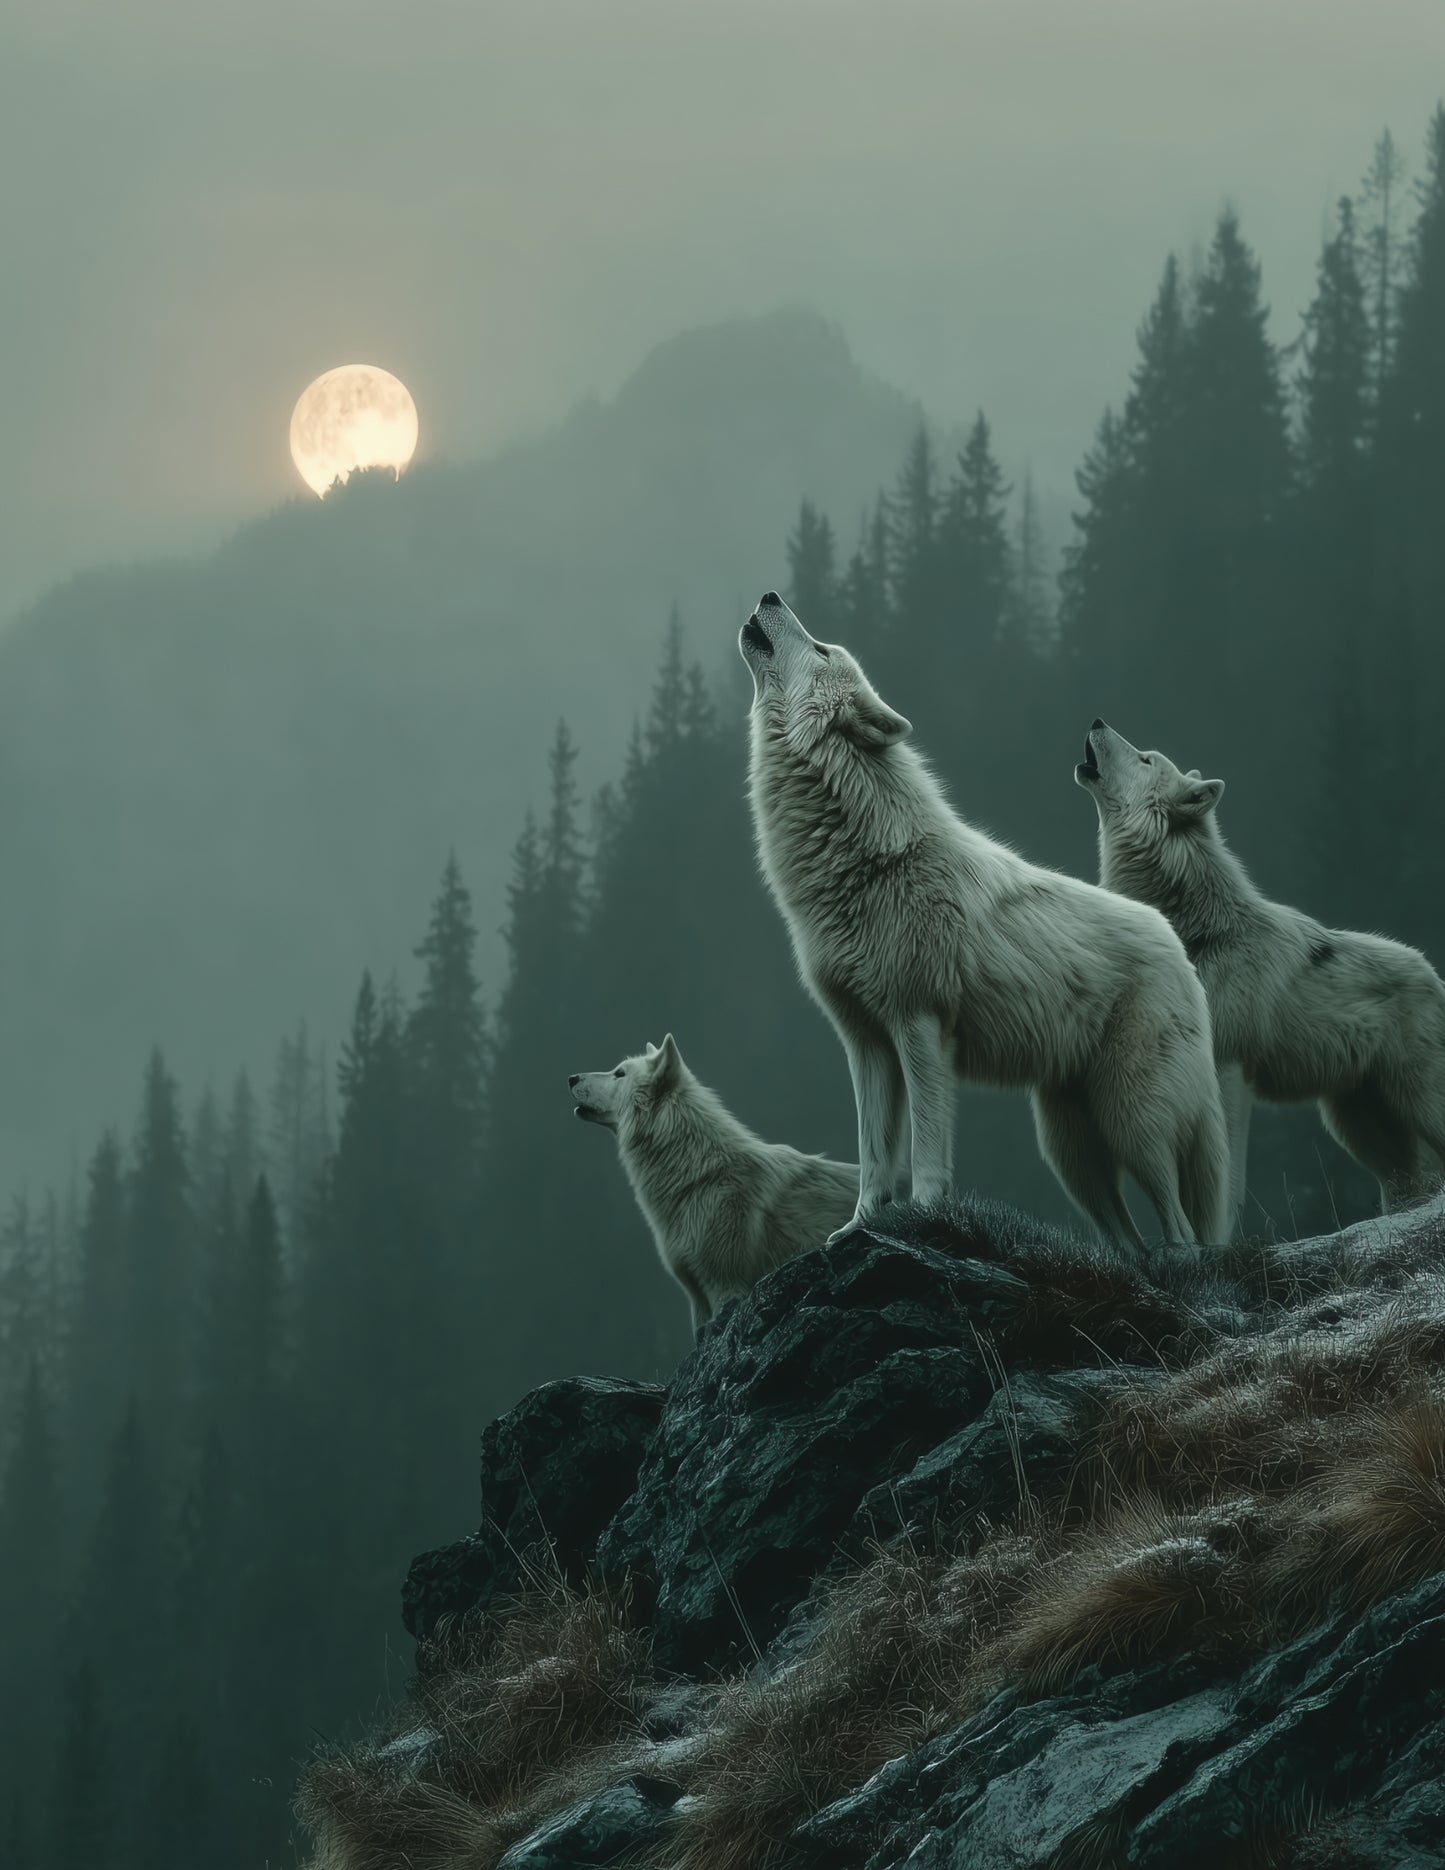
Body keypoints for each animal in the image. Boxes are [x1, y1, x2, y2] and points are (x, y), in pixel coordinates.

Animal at [739, 593, 1230, 1255]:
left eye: (820, 648)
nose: (770, 596)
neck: (866, 860)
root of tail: (1176, 943)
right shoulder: (865, 1041)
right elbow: (873, 1155)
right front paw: (858, 1228)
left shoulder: (919, 1024)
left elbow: (925, 1147)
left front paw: (923, 1216)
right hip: (1068, 1150)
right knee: (1127, 1239)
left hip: (1134, 1120)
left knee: (1181, 1229)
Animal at [1078, 719, 1445, 1217]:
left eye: (1146, 759)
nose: (1097, 721)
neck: (1197, 929)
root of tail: (1434, 975)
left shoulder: (1228, 1068)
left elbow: (1226, 1181)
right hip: (1361, 1130)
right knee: (1412, 1186)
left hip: (1416, 1106)